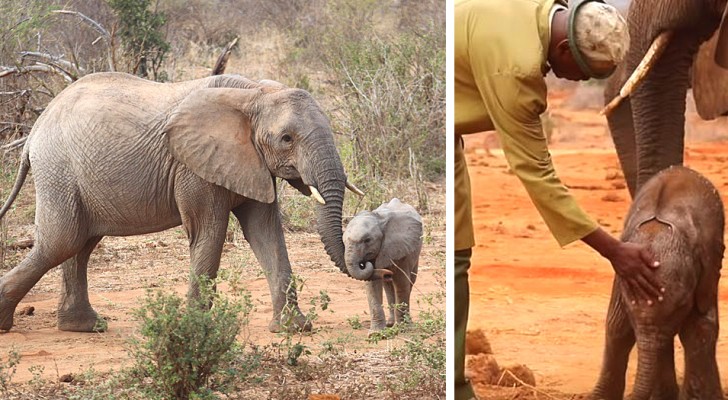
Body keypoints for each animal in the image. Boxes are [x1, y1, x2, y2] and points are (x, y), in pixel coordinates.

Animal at [0, 72, 378, 334]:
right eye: (286, 139)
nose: (366, 263)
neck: (253, 93)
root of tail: (34, 130)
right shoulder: (193, 167)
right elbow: (209, 233)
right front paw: (196, 329)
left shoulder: (251, 162)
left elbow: (266, 234)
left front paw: (294, 329)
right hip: (59, 169)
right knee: (62, 241)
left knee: (79, 244)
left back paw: (86, 327)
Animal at [344, 198, 424, 332]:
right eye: (343, 241)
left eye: (367, 240)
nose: (363, 263)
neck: (379, 219)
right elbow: (372, 285)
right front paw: (376, 333)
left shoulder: (401, 248)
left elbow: (402, 282)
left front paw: (404, 328)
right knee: (388, 286)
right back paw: (390, 323)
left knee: (410, 281)